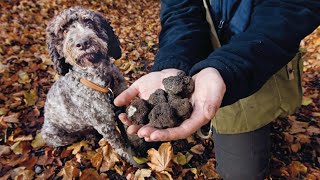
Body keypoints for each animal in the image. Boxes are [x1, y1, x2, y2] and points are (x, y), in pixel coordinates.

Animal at [40, 6, 136, 165]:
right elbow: (120, 144)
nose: (83, 43)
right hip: (54, 134)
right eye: (64, 30)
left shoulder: (122, 103)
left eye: (89, 22)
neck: (102, 83)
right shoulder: (105, 124)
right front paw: (133, 160)